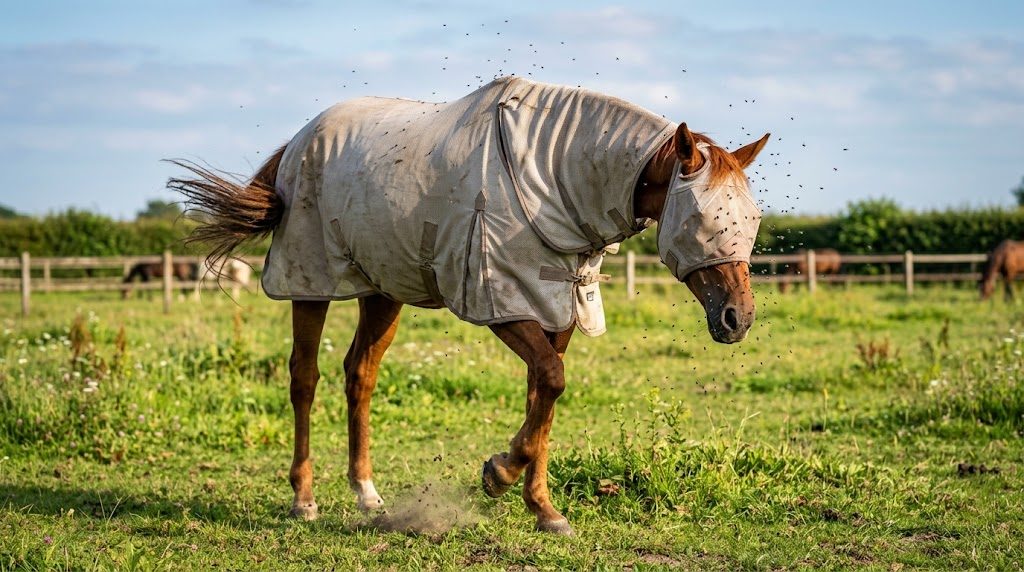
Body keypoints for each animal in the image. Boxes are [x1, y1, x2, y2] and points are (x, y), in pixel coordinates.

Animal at [168, 76, 769, 535]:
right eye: (702, 219)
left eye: (753, 219)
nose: (738, 319)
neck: (553, 175)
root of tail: (297, 143)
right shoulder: (501, 303)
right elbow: (550, 383)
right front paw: (498, 476)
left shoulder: (556, 308)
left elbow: (543, 395)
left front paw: (542, 508)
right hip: (309, 283)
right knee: (304, 378)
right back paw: (304, 498)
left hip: (382, 291)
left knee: (359, 375)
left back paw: (366, 492)